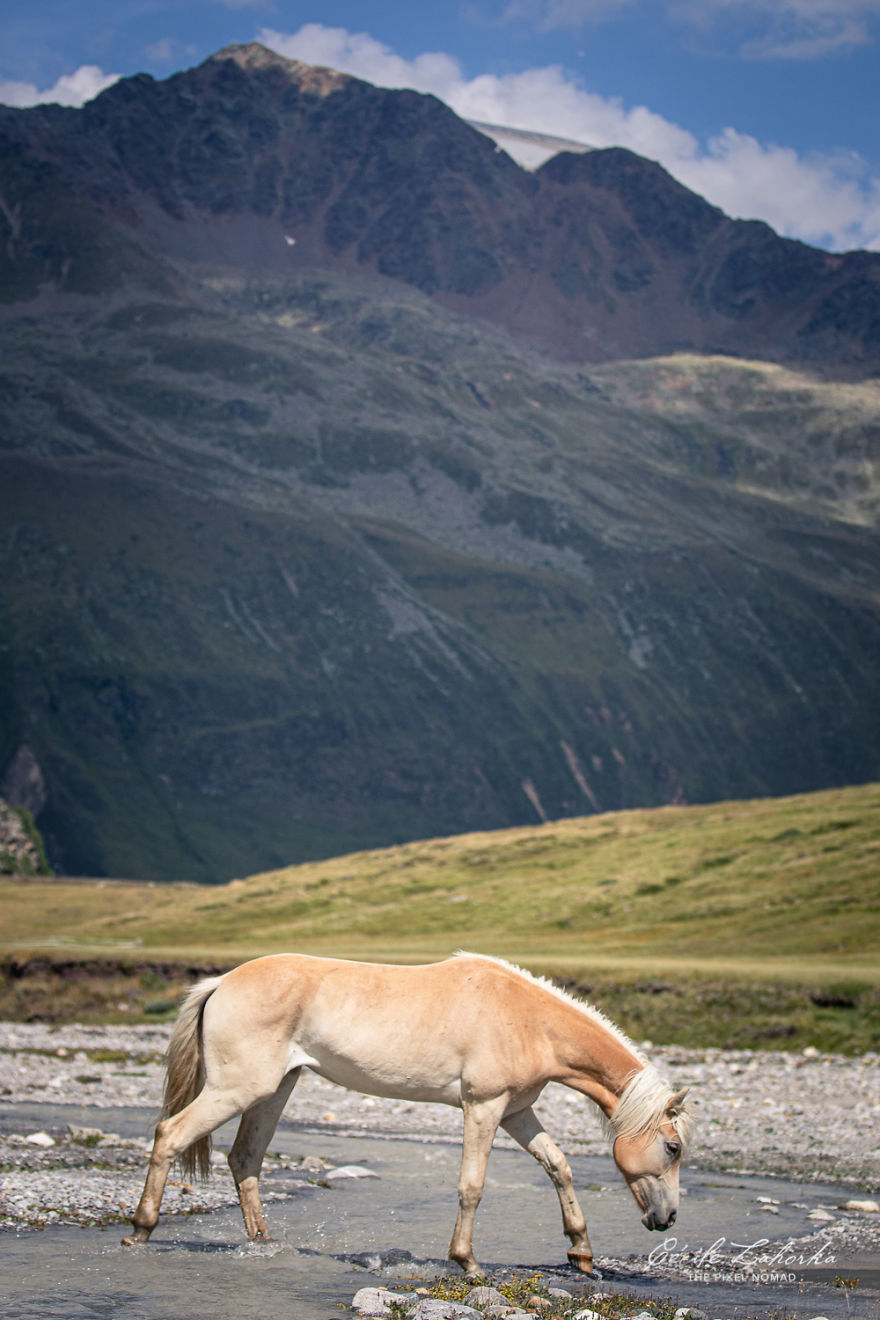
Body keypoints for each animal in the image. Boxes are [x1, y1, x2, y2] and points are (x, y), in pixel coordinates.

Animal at [122, 952, 692, 1277]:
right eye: (673, 1147)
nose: (666, 1219)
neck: (528, 1020)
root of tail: (220, 982)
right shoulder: (483, 1109)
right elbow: (471, 1186)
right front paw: (467, 1262)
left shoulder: (517, 1112)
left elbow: (559, 1167)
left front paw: (582, 1255)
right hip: (237, 1089)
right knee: (170, 1135)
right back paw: (139, 1232)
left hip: (274, 1090)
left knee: (245, 1159)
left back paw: (263, 1243)